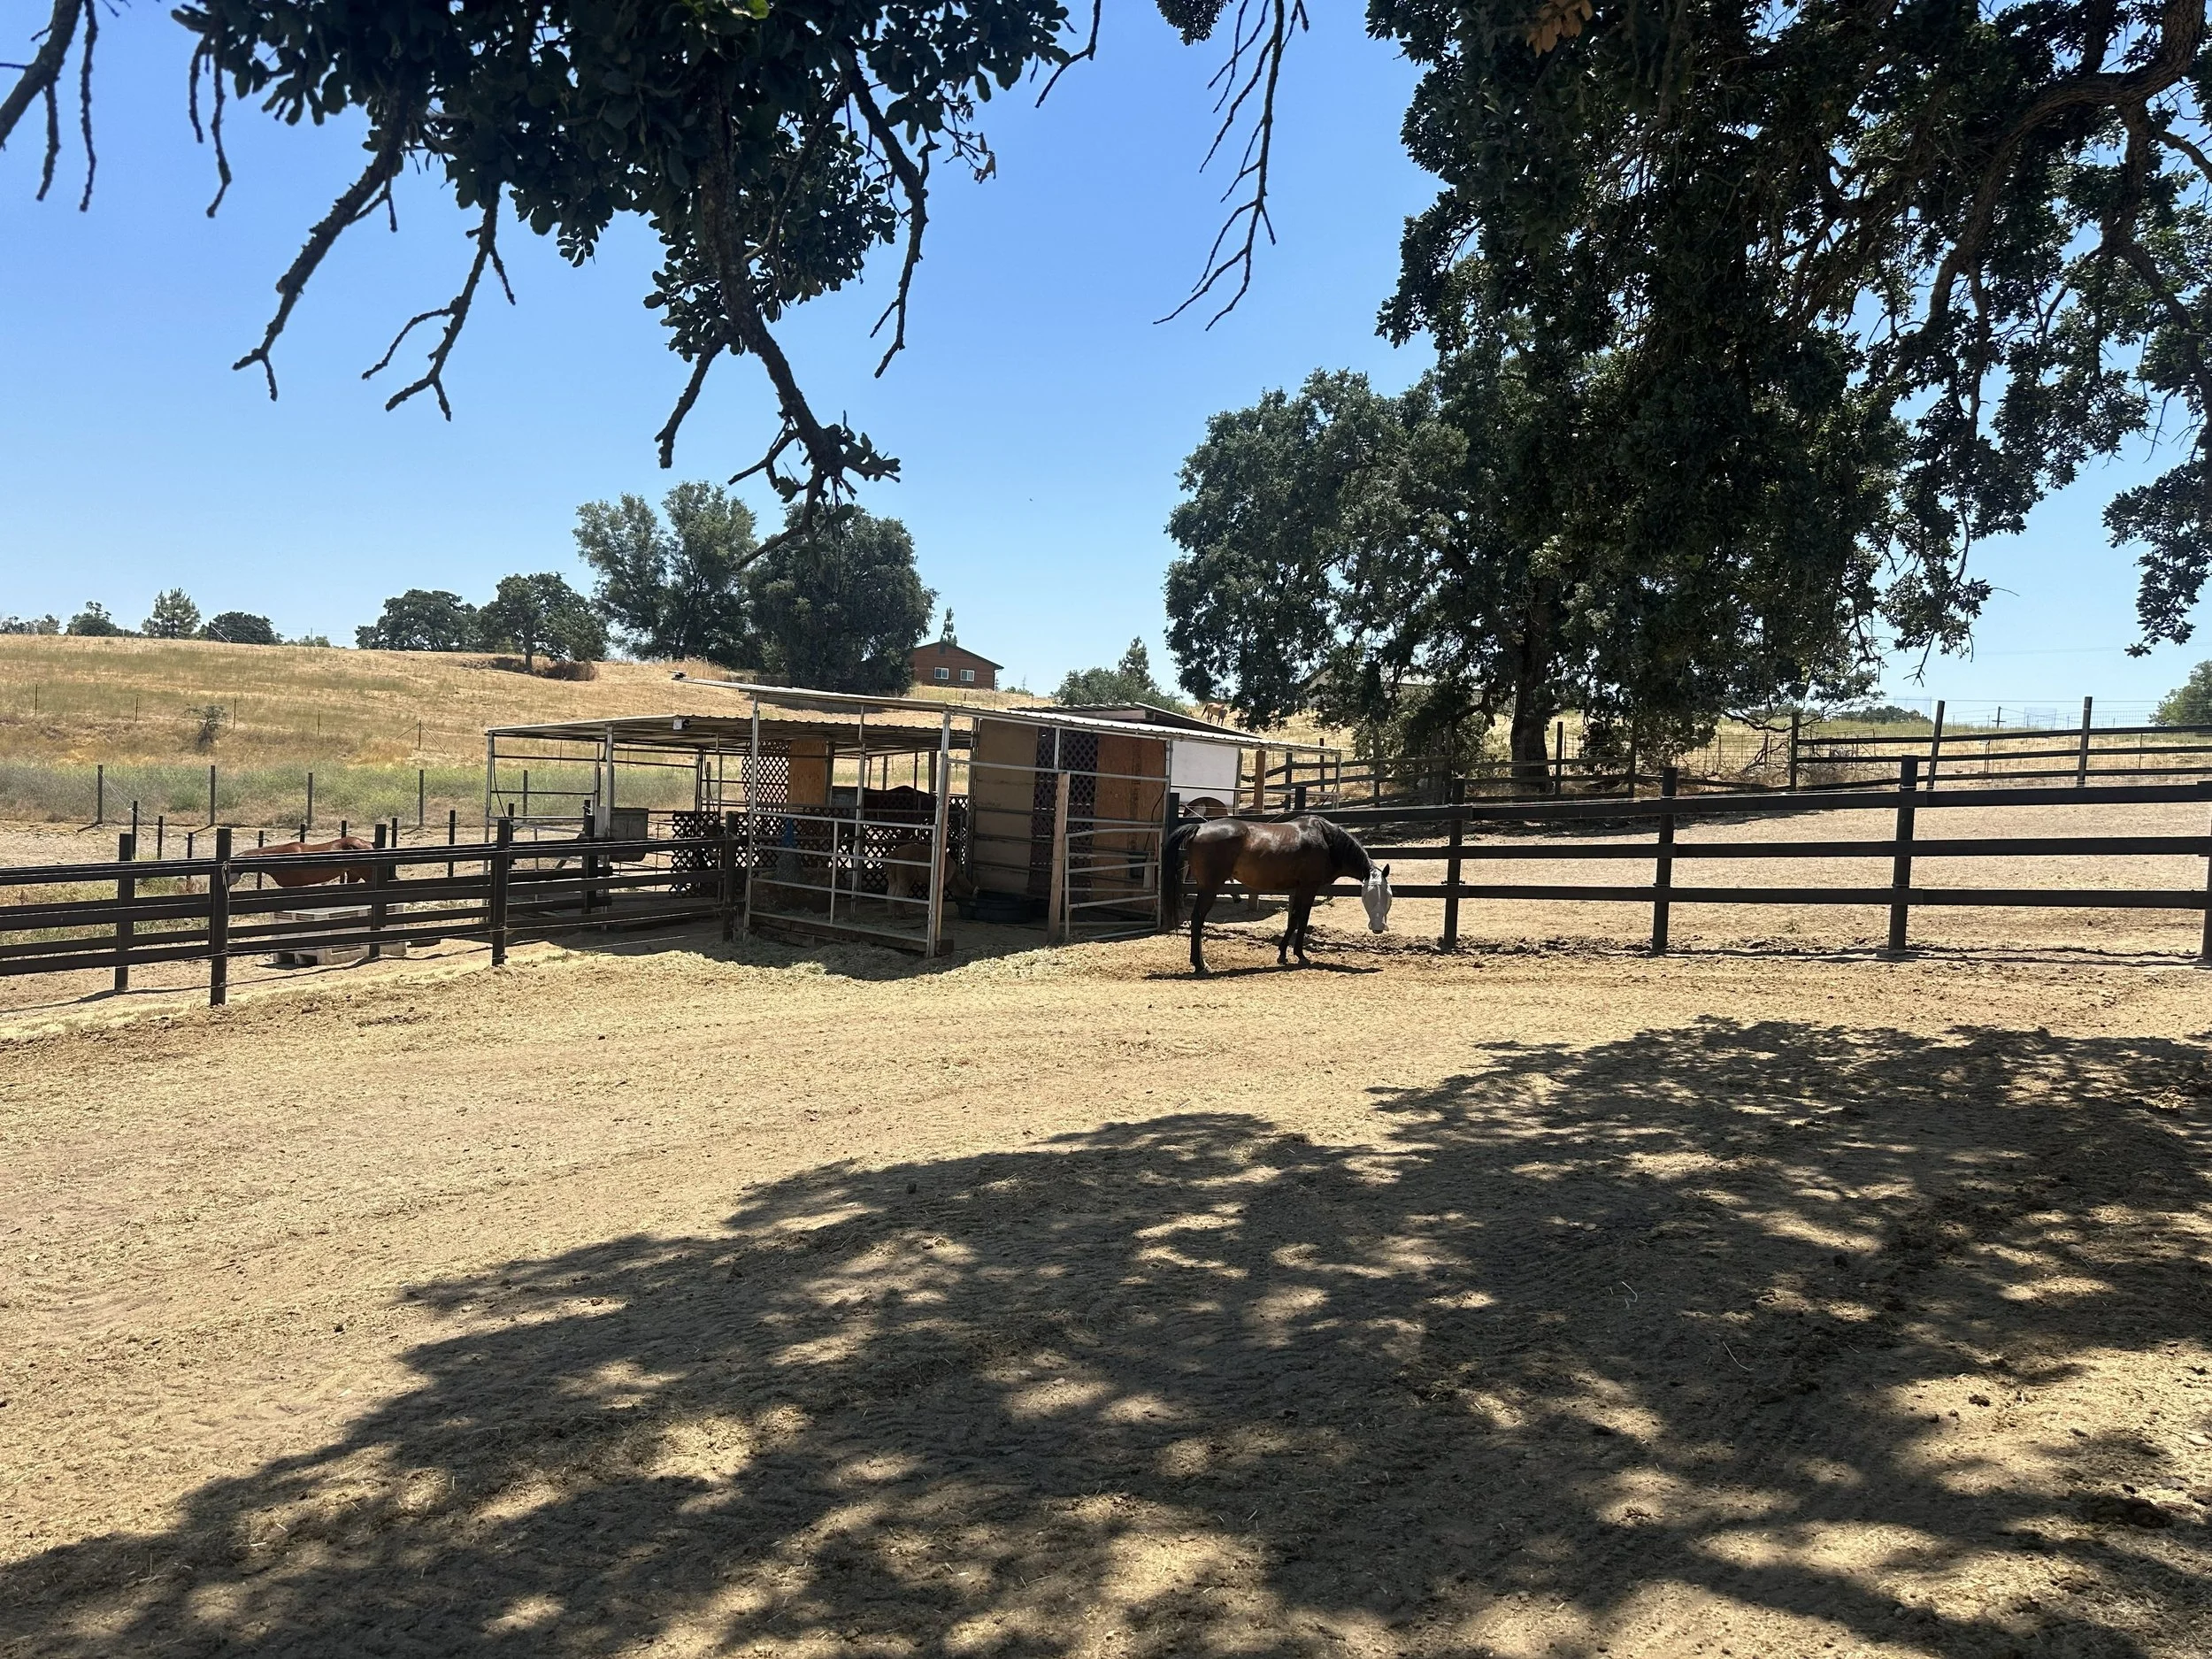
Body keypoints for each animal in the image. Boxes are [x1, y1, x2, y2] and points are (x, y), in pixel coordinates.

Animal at [1165, 815, 1390, 976]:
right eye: (1369, 895)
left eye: (1388, 896)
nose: (1378, 928)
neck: (1326, 839)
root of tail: (1199, 828)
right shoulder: (1309, 887)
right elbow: (1303, 918)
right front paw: (1300, 955)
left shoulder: (1298, 888)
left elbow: (1293, 919)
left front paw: (1283, 954)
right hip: (1209, 888)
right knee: (1197, 919)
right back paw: (1200, 965)